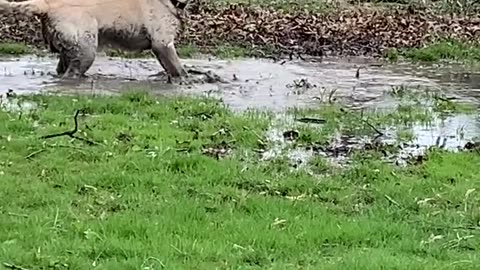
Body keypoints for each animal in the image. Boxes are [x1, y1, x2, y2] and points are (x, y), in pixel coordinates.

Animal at [0, 0, 188, 79]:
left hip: (71, 48)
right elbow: (179, 69)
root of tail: (47, 5)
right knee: (72, 73)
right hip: (86, 49)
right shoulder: (162, 44)